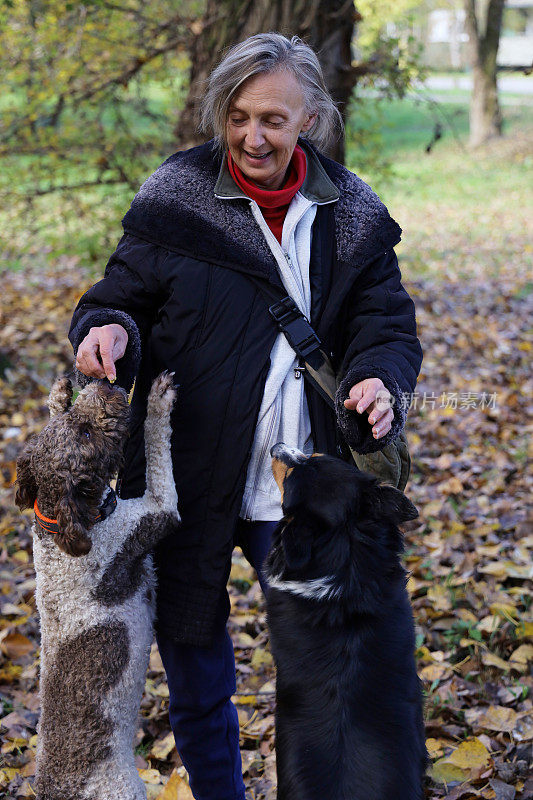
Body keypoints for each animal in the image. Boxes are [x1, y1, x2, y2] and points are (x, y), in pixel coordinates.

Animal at [15, 372, 181, 796]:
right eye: (87, 433)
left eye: (78, 422)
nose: (106, 386)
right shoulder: (159, 510)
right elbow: (158, 449)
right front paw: (158, 401)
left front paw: (57, 396)